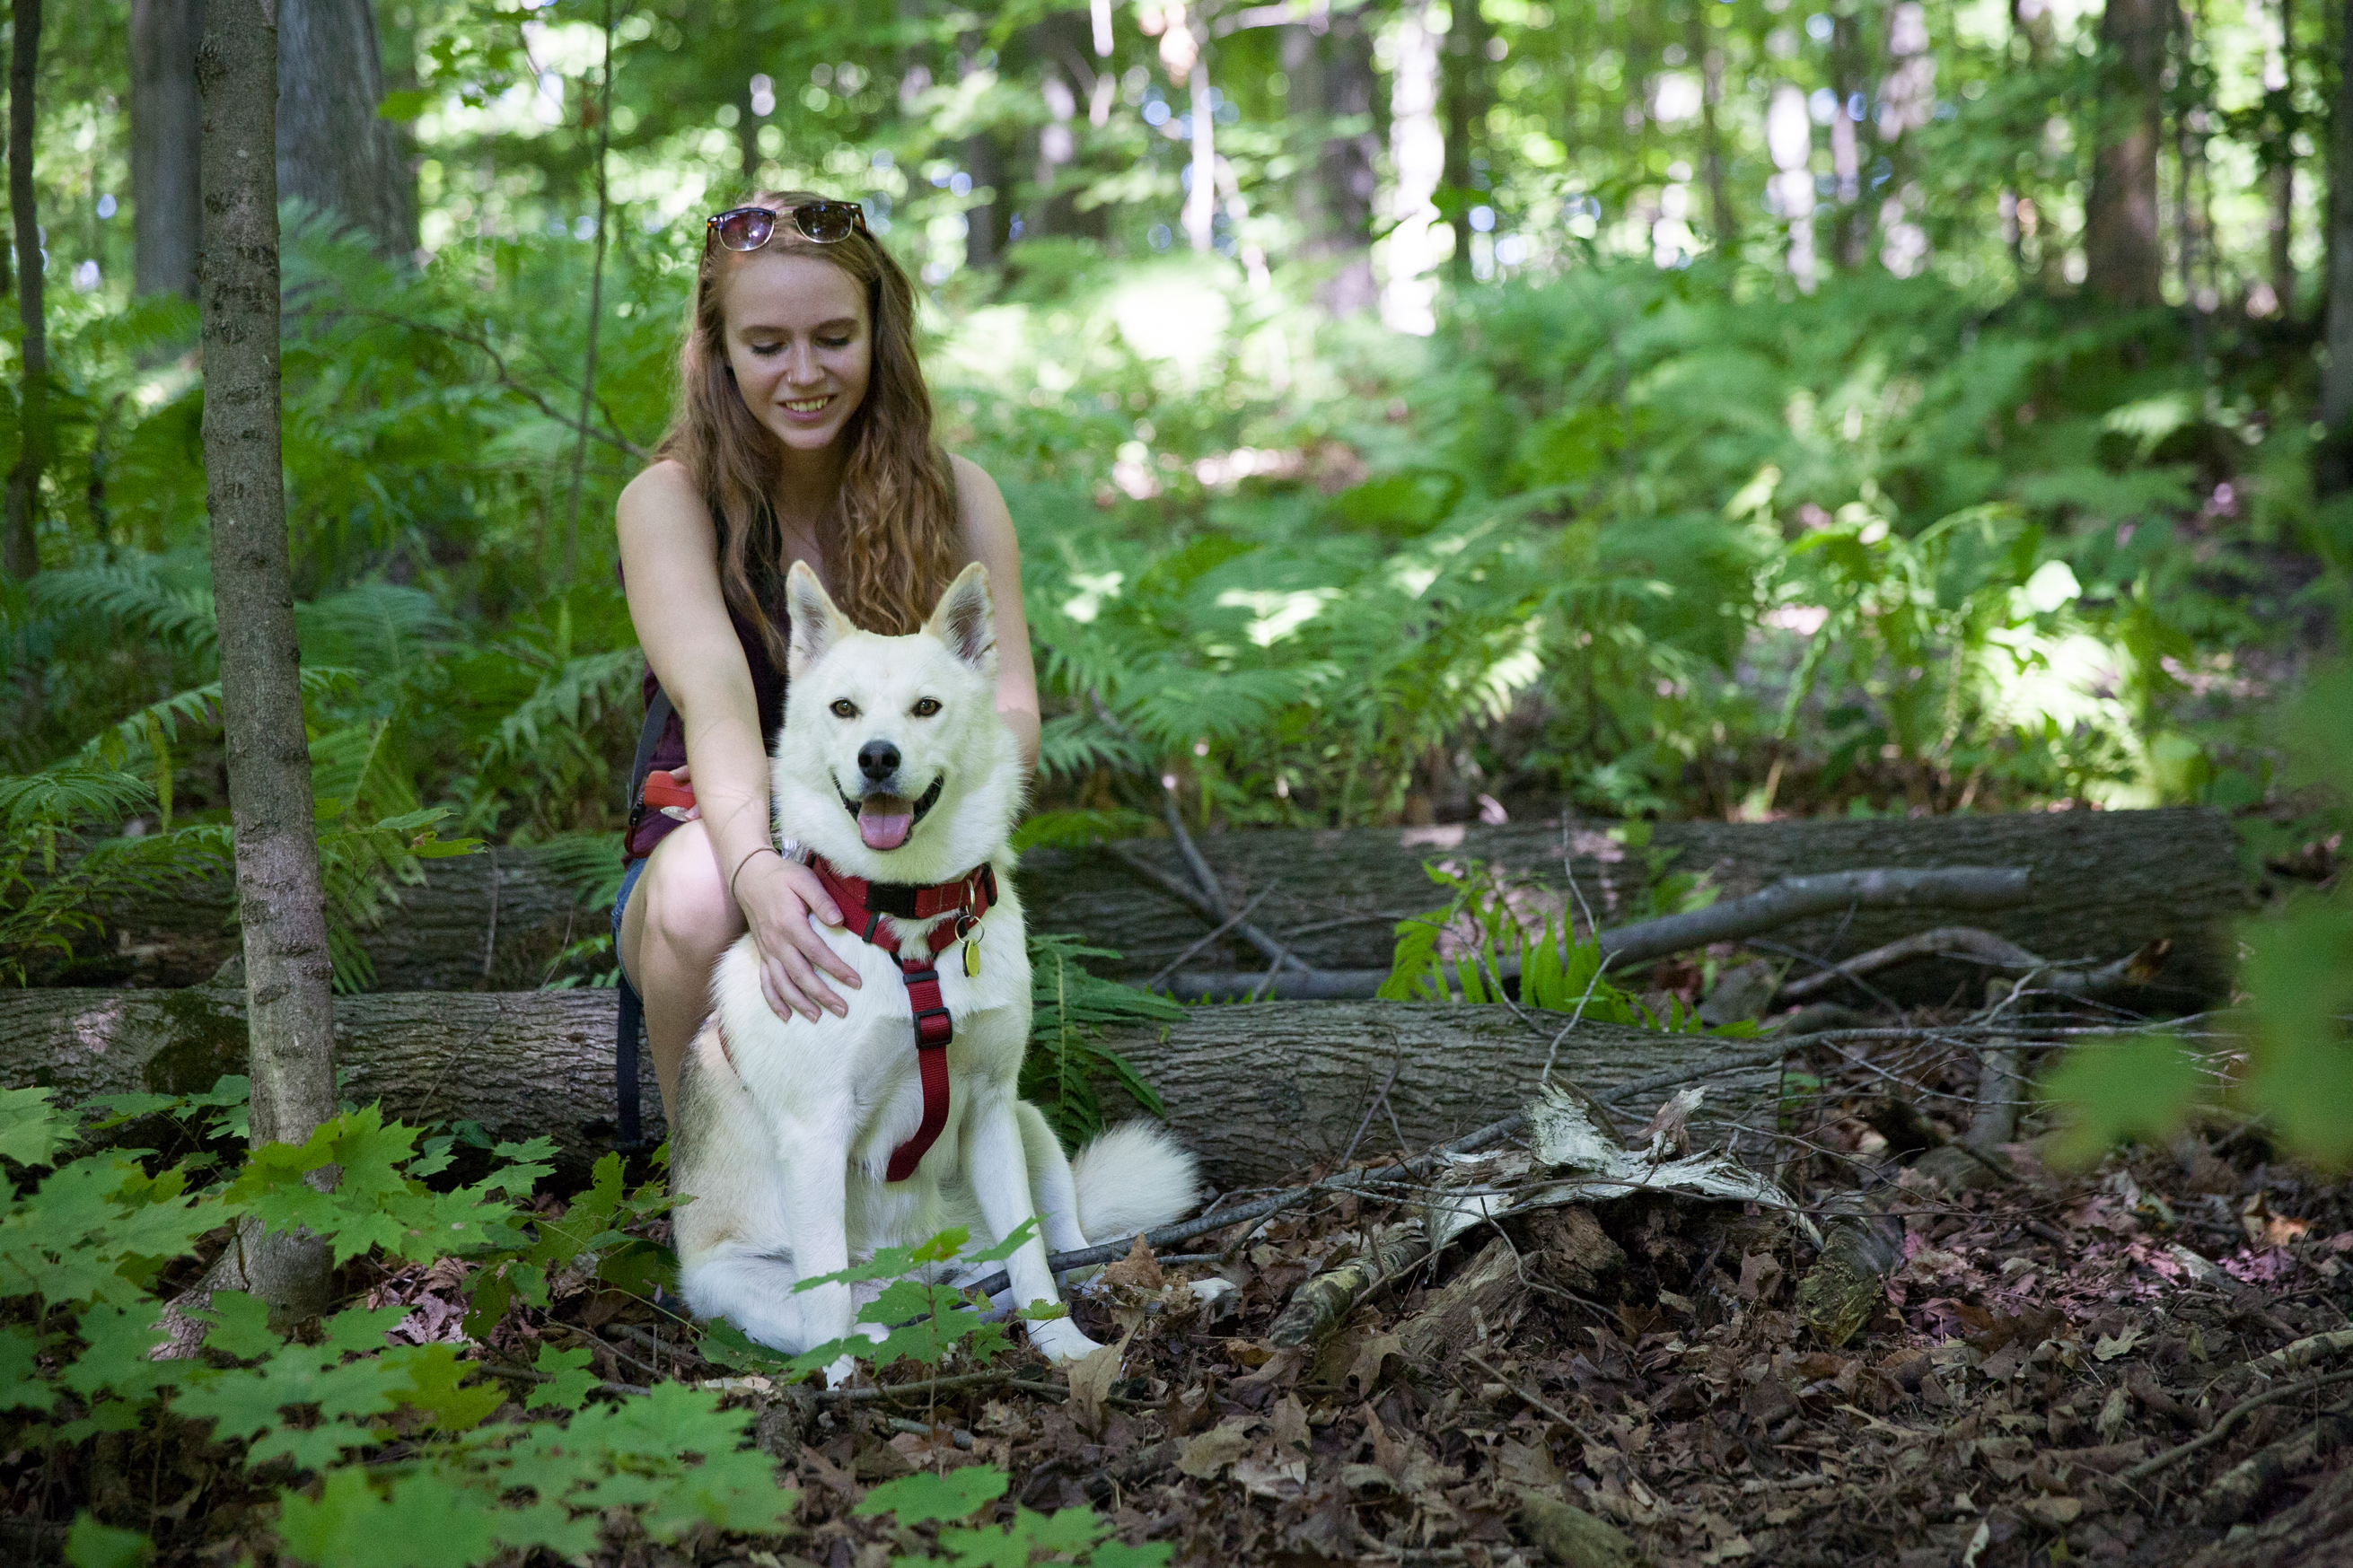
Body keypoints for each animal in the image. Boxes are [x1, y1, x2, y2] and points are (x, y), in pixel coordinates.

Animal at [672, 556, 1204, 1382]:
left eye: (926, 708)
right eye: (844, 709)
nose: (878, 757)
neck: (909, 922)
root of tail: (923, 1273)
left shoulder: (989, 1107)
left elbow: (1032, 1261)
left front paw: (1065, 1349)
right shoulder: (814, 1134)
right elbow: (826, 1293)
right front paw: (840, 1389)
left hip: (1030, 1127)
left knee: (1074, 1258)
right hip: (736, 1282)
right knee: (853, 1314)